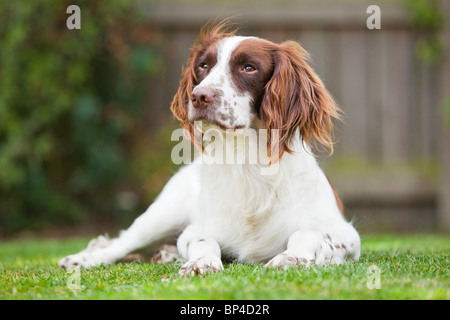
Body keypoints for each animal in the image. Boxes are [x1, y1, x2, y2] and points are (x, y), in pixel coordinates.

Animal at [59, 21, 362, 276]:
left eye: (249, 68)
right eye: (204, 65)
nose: (199, 96)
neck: (248, 163)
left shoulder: (347, 235)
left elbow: (308, 233)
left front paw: (291, 257)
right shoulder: (196, 230)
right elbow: (204, 240)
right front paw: (201, 262)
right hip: (161, 215)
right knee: (121, 243)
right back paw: (83, 259)